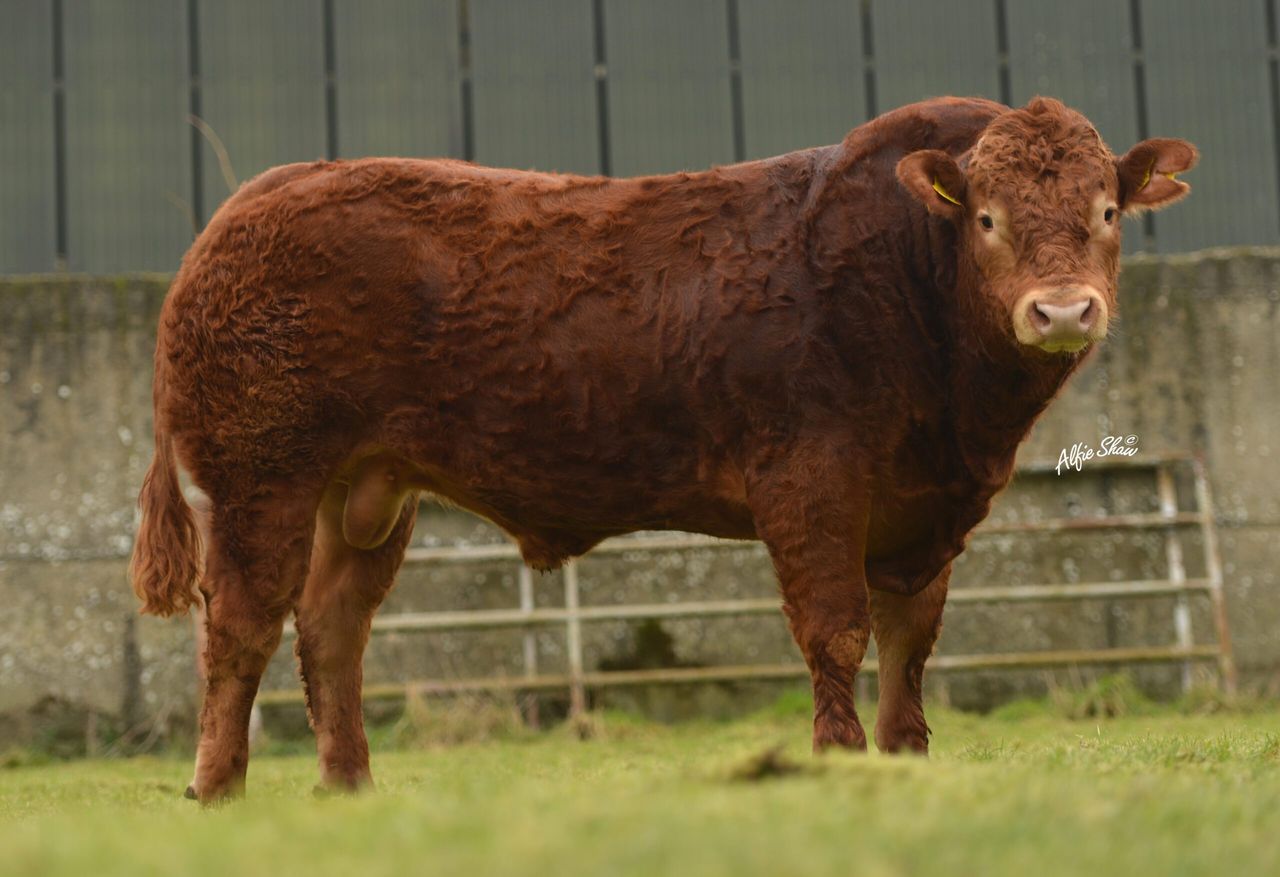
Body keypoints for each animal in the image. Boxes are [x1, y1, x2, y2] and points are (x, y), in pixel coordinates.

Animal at [130, 96, 1196, 802]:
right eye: (987, 217)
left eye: (1107, 211)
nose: (1063, 310)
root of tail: (254, 200)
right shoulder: (810, 480)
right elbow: (835, 629)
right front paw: (838, 757)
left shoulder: (928, 508)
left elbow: (911, 639)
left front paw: (905, 755)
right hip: (261, 474)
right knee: (241, 623)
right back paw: (217, 789)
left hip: (367, 488)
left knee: (330, 627)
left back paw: (347, 787)